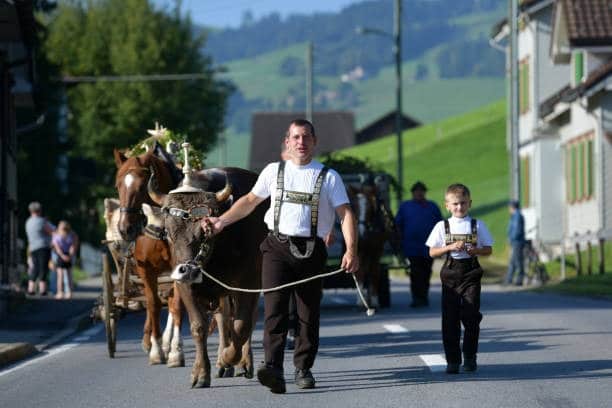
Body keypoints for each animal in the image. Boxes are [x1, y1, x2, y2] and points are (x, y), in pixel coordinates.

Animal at [149, 167, 268, 388]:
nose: (185, 270)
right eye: (167, 232)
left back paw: (241, 363)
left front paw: (230, 358)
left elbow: (242, 325)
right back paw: (222, 363)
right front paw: (201, 373)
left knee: (246, 319)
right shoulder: (186, 287)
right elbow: (199, 326)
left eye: (204, 232)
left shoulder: (248, 282)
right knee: (223, 319)